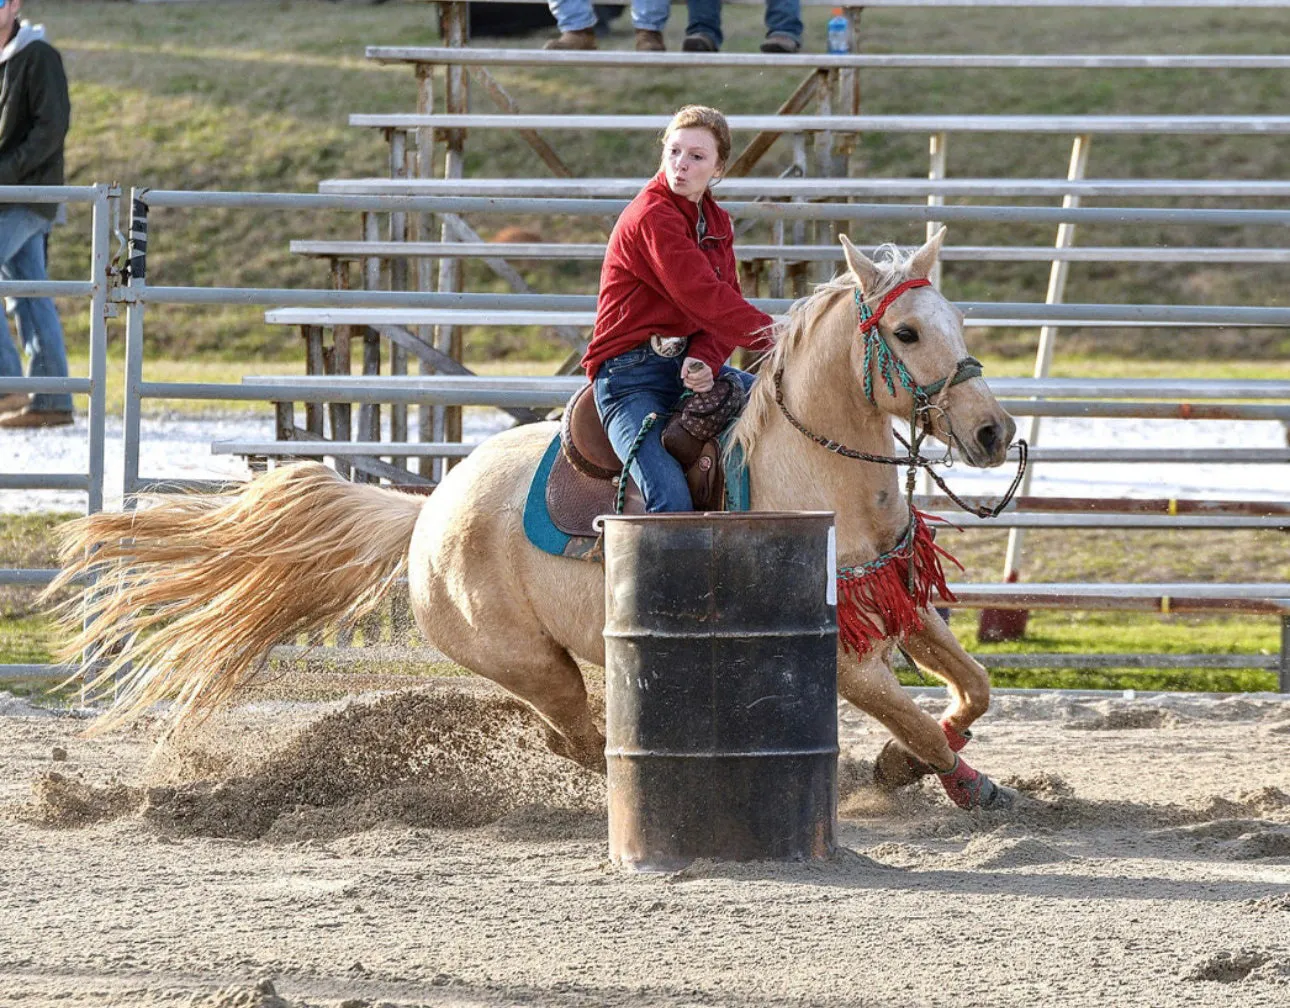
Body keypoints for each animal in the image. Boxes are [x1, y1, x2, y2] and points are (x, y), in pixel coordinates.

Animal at [47, 225, 1016, 810]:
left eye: (957, 321)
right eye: (906, 334)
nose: (993, 430)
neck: (815, 471)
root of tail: (426, 513)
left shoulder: (897, 601)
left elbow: (972, 688)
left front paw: (912, 764)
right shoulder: (842, 655)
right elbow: (916, 715)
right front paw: (960, 782)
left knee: (571, 738)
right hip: (528, 662)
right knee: (574, 736)